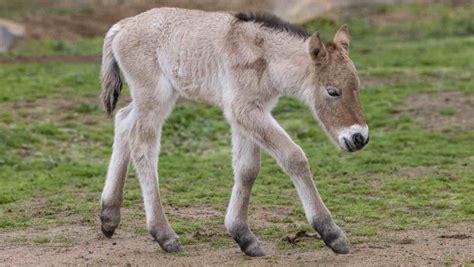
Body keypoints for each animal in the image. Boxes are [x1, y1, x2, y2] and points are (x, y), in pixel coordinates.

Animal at [98, 7, 368, 258]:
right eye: (332, 91)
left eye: (357, 85)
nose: (359, 138)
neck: (265, 56)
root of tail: (123, 25)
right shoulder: (243, 109)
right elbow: (293, 156)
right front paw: (331, 233)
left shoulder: (251, 112)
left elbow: (247, 169)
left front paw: (243, 236)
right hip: (154, 95)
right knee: (142, 145)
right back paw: (164, 234)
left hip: (155, 97)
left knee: (123, 120)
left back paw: (109, 216)